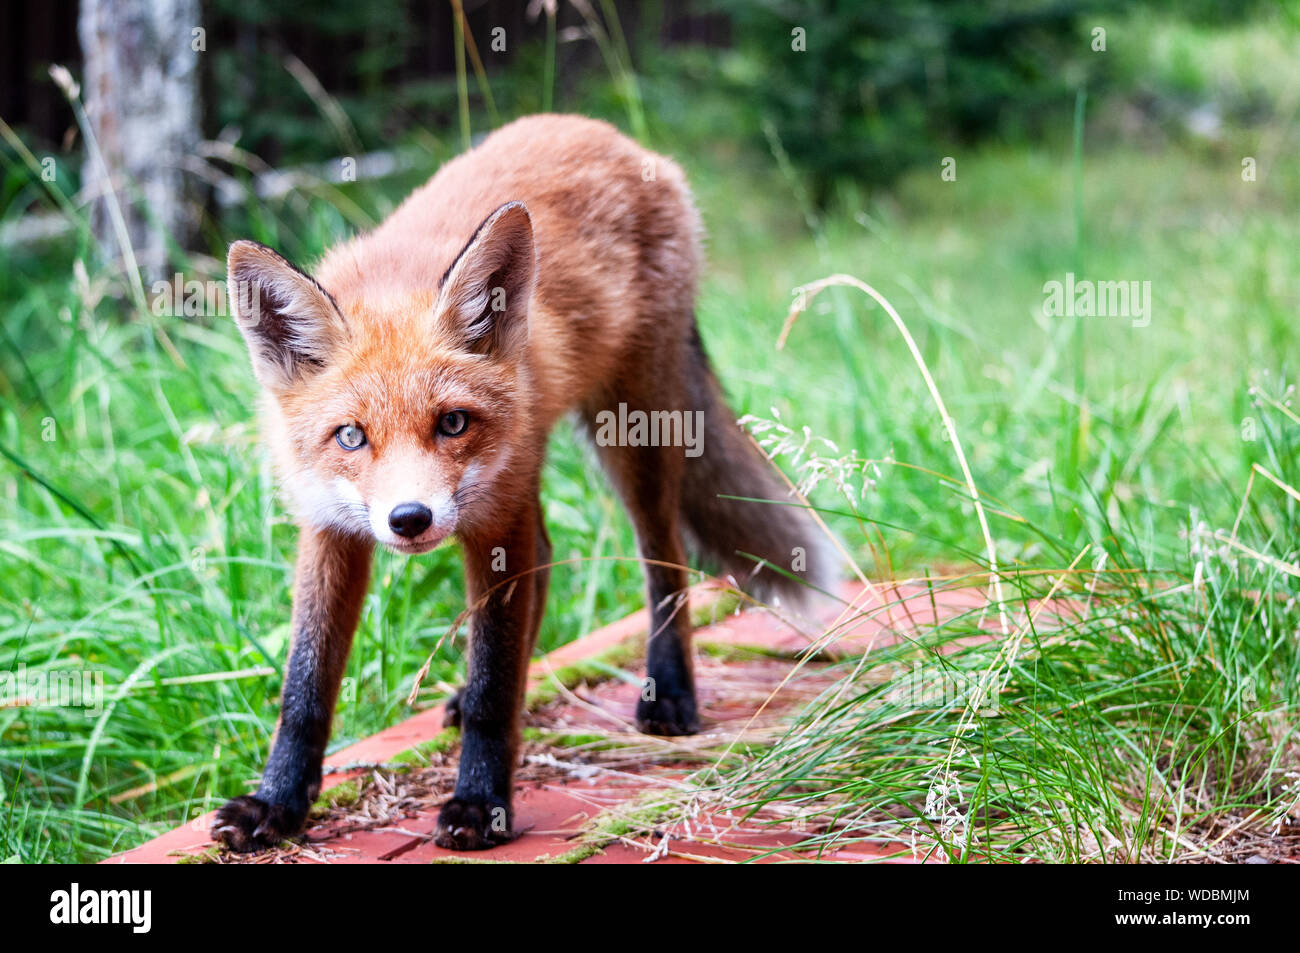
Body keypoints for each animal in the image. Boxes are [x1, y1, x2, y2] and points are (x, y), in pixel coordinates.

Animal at [212, 114, 835, 852]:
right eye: (351, 437)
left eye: (452, 422)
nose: (410, 519)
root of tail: (598, 131)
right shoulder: (330, 528)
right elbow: (303, 687)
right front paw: (276, 803)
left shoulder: (492, 522)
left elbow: (493, 681)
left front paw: (481, 804)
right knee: (548, 556)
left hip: (633, 432)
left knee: (664, 558)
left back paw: (671, 692)